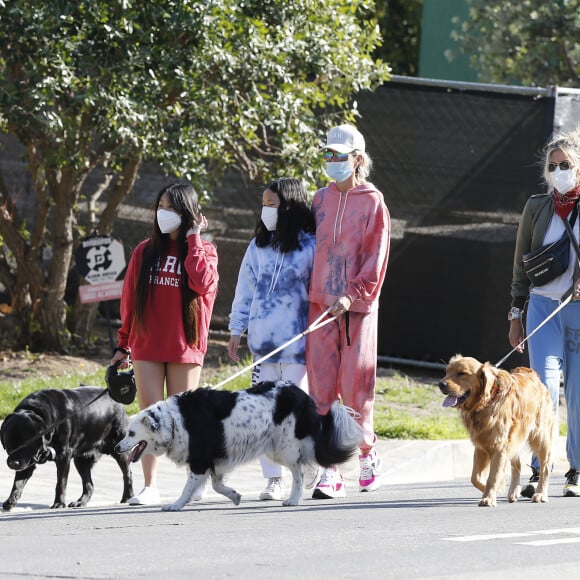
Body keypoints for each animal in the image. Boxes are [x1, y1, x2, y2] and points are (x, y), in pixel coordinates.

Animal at [0, 388, 134, 510]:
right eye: (8, 443)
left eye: (26, 443)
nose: (13, 463)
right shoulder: (28, 460)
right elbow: (17, 483)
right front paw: (11, 500)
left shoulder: (63, 455)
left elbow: (61, 482)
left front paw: (59, 503)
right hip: (81, 460)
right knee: (89, 484)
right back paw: (80, 502)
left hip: (120, 448)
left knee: (127, 474)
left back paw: (128, 497)